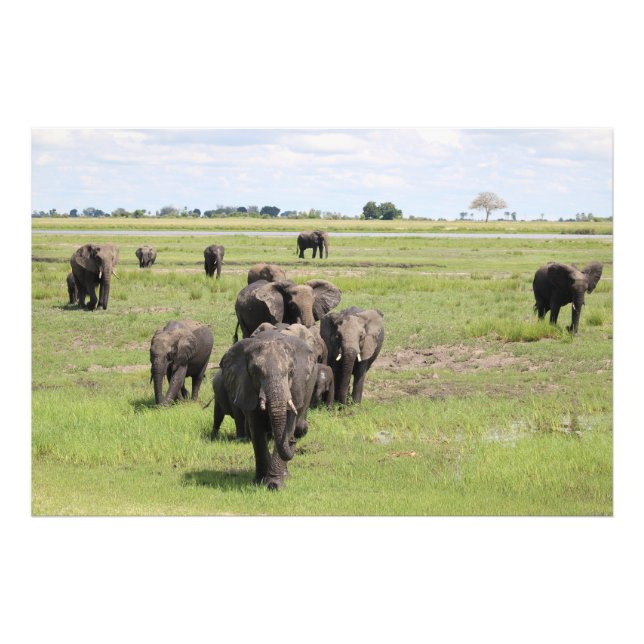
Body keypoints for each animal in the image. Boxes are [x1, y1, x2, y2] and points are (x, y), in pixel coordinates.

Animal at [218, 330, 318, 490]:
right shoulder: (247, 387)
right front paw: (259, 482)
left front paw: (275, 485)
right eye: (255, 372)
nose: (293, 442)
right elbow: (256, 431)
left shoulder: (295, 386)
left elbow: (287, 426)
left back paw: (285, 476)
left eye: (291, 372)